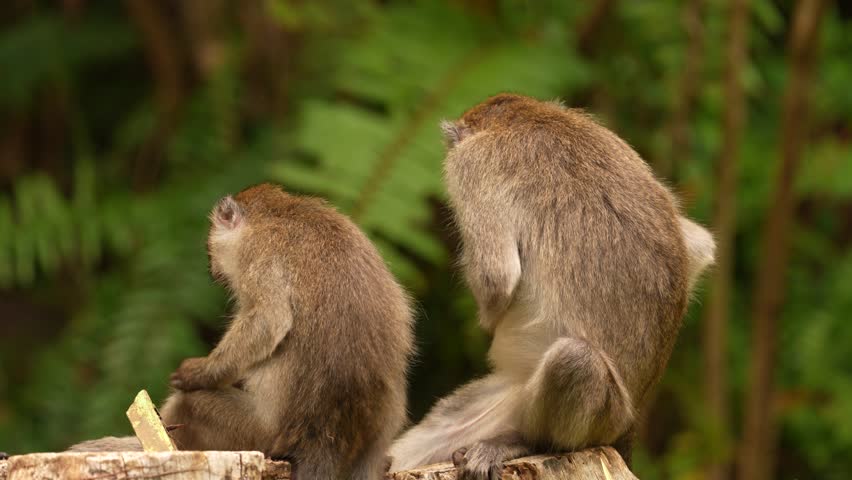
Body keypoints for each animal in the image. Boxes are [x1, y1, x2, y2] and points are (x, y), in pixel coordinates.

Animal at [70, 183, 414, 480]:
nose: (212, 268)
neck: (280, 211)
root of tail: (326, 438)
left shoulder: (258, 251)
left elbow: (267, 320)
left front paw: (201, 372)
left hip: (255, 434)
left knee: (192, 403)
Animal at [388, 94, 715, 479]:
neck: (531, 118)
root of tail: (628, 423)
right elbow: (697, 246)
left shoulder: (470, 163)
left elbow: (497, 278)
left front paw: (490, 315)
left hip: (599, 421)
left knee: (574, 359)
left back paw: (527, 442)